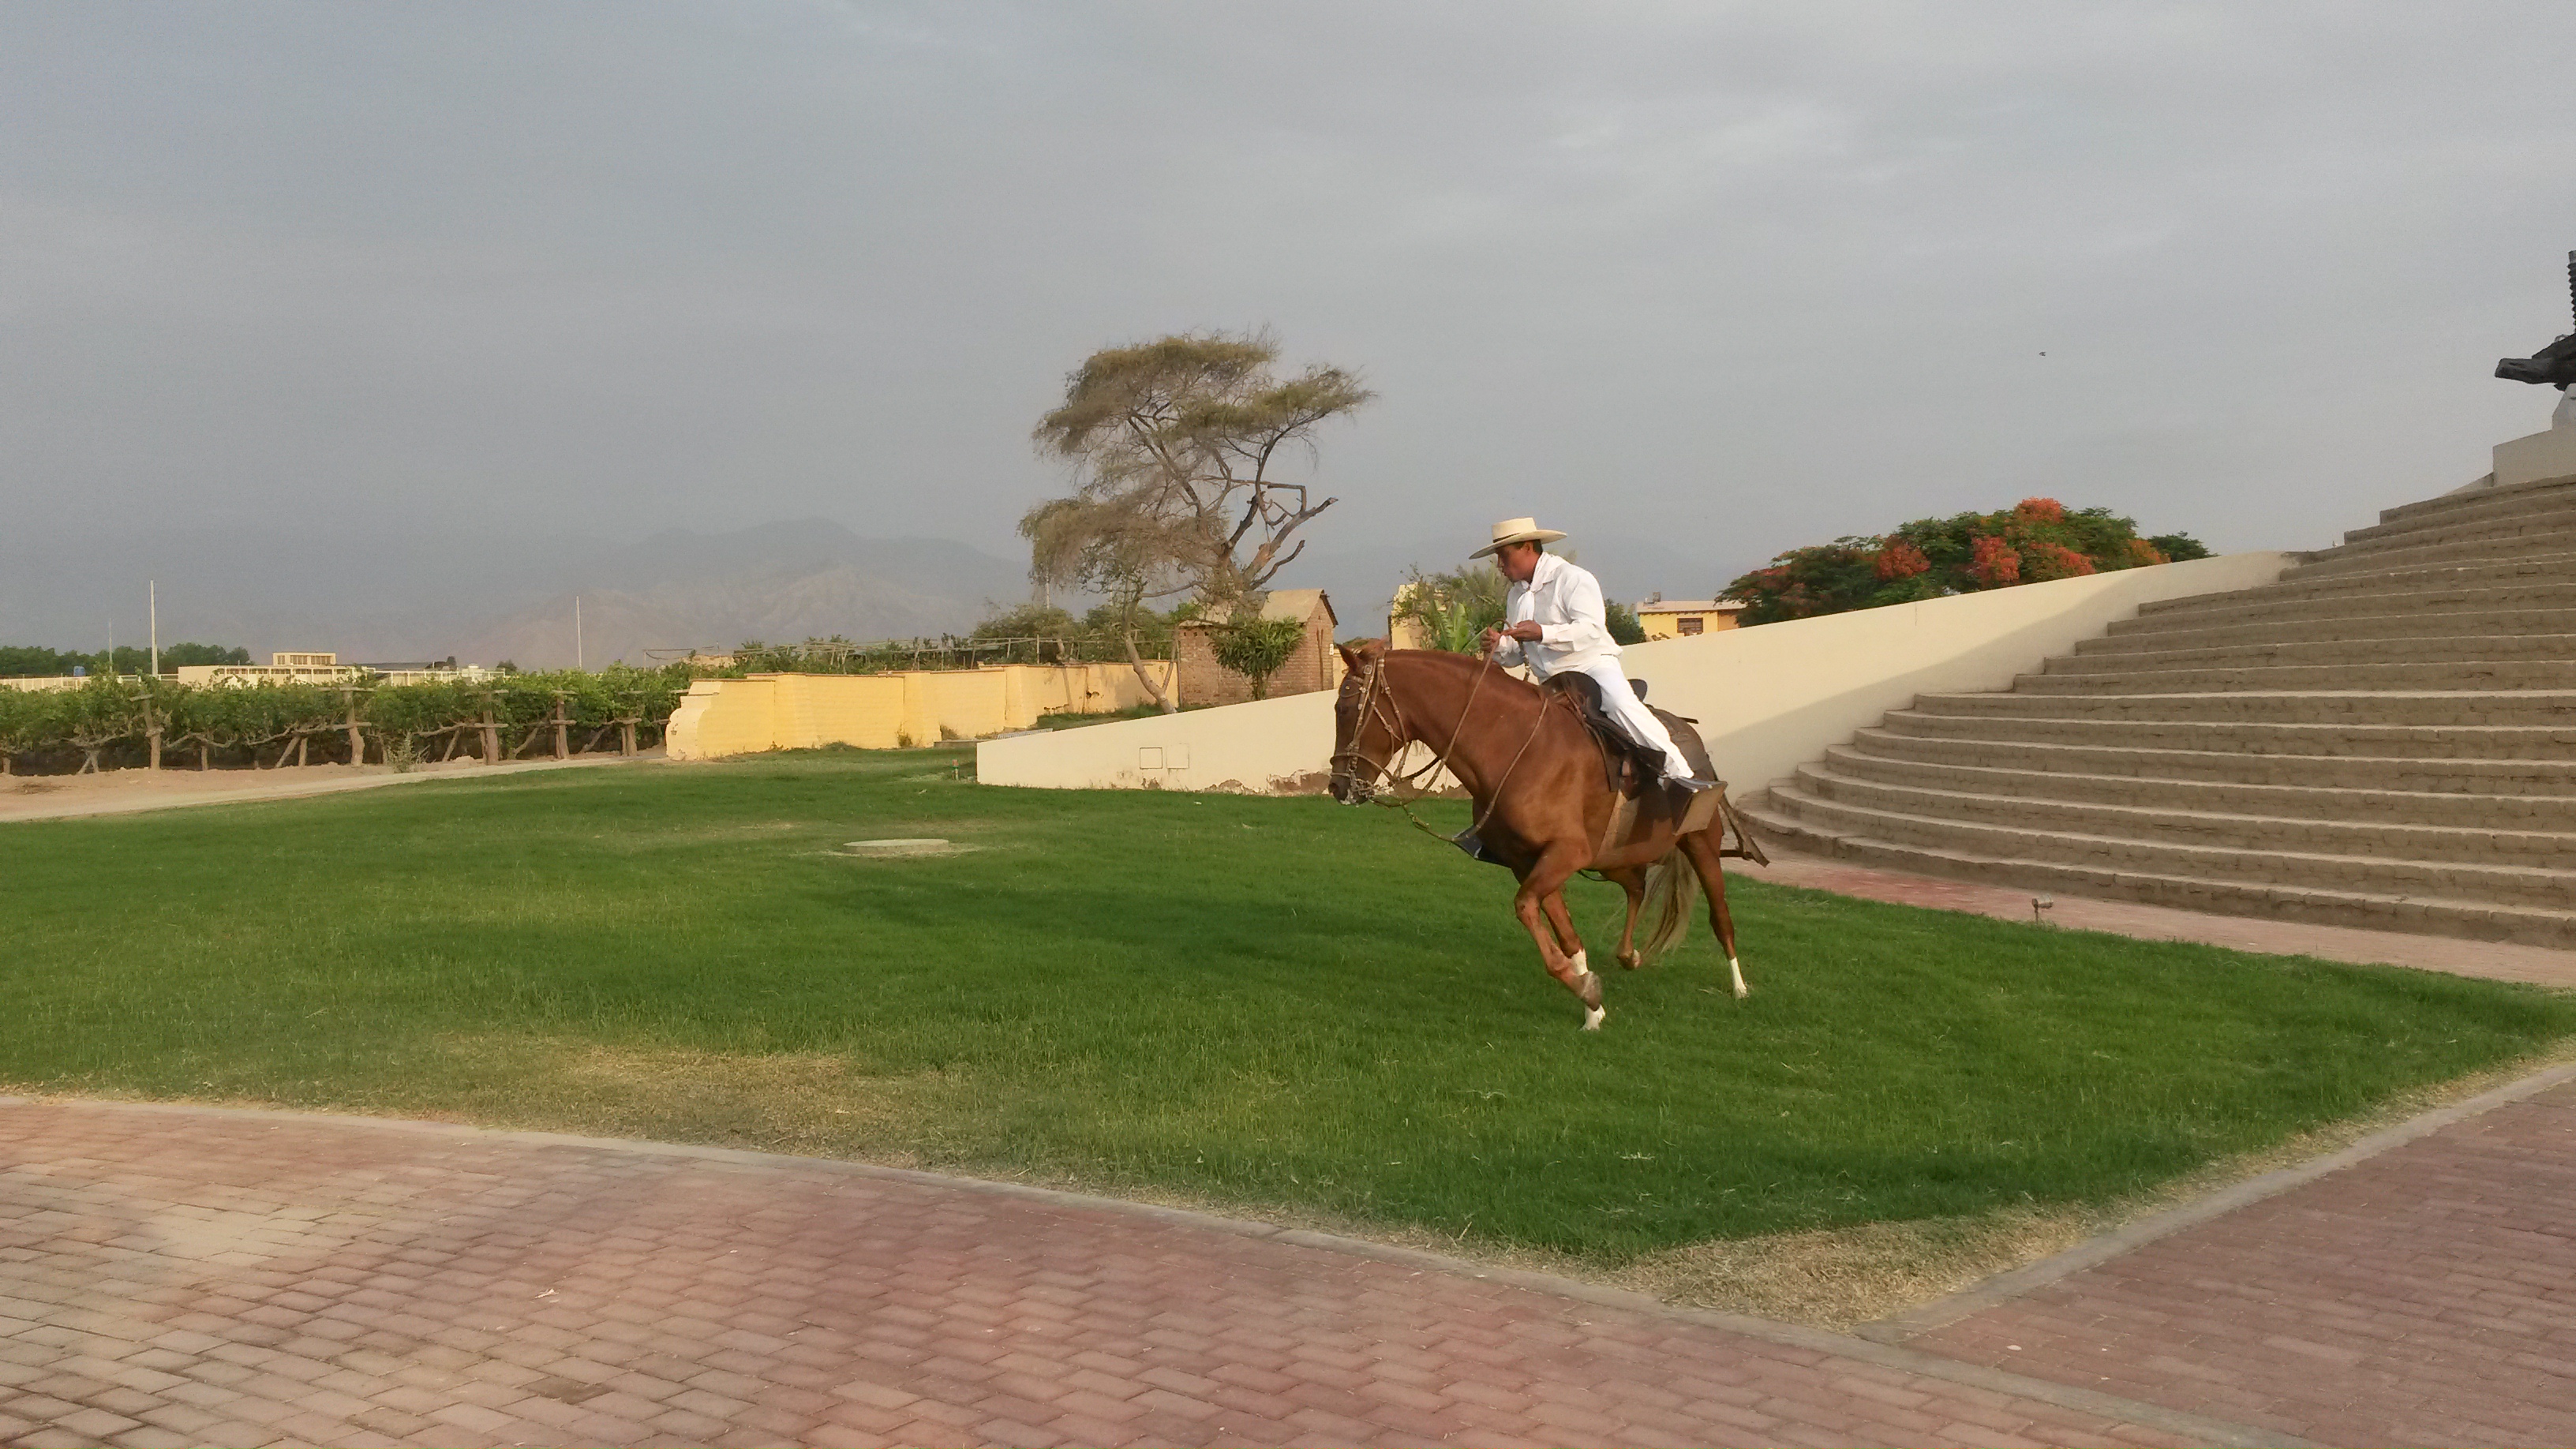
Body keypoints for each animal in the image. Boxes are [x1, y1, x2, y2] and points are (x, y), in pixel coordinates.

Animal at [1329, 634, 1751, 1026]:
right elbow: (1566, 936)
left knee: (1720, 917)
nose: (1337, 786)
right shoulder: (1530, 862)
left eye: (1344, 708)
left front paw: (1582, 987)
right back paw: (1629, 955)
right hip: (1614, 857)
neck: (1519, 751)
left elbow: (1525, 908)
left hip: (1701, 844)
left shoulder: (1566, 854)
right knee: (1636, 886)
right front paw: (1591, 1004)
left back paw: (1739, 987)